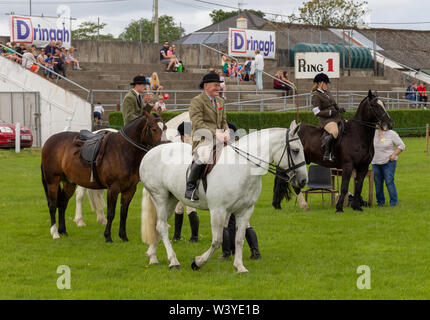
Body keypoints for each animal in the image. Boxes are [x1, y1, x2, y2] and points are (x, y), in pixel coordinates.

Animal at [41, 111, 166, 241]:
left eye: (164, 127)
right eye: (153, 129)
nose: (164, 145)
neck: (123, 150)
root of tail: (49, 142)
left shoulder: (130, 189)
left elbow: (124, 213)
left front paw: (123, 236)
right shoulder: (113, 189)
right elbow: (111, 213)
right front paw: (108, 237)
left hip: (69, 183)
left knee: (62, 203)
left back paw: (63, 231)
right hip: (52, 182)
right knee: (52, 205)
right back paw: (55, 233)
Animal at [139, 121, 308, 274]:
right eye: (295, 150)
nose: (303, 180)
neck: (242, 167)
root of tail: (151, 152)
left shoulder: (245, 210)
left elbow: (239, 239)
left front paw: (239, 267)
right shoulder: (218, 210)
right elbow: (217, 241)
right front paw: (197, 262)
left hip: (171, 199)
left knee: (159, 225)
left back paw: (152, 256)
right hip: (160, 197)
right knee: (162, 226)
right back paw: (173, 261)